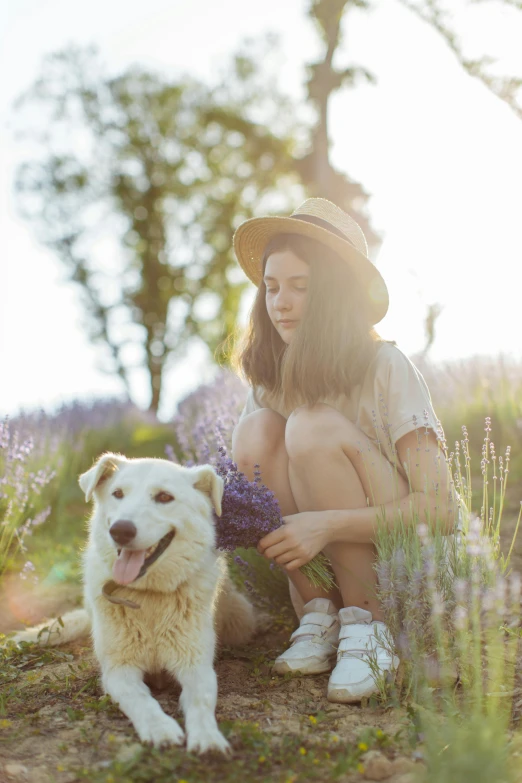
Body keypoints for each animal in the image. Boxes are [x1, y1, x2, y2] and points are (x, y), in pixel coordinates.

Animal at [12, 454, 256, 752]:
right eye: (118, 494)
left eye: (164, 497)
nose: (120, 530)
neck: (147, 596)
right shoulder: (119, 671)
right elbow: (142, 701)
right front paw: (161, 729)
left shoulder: (196, 666)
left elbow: (201, 700)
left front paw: (208, 738)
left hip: (242, 622)